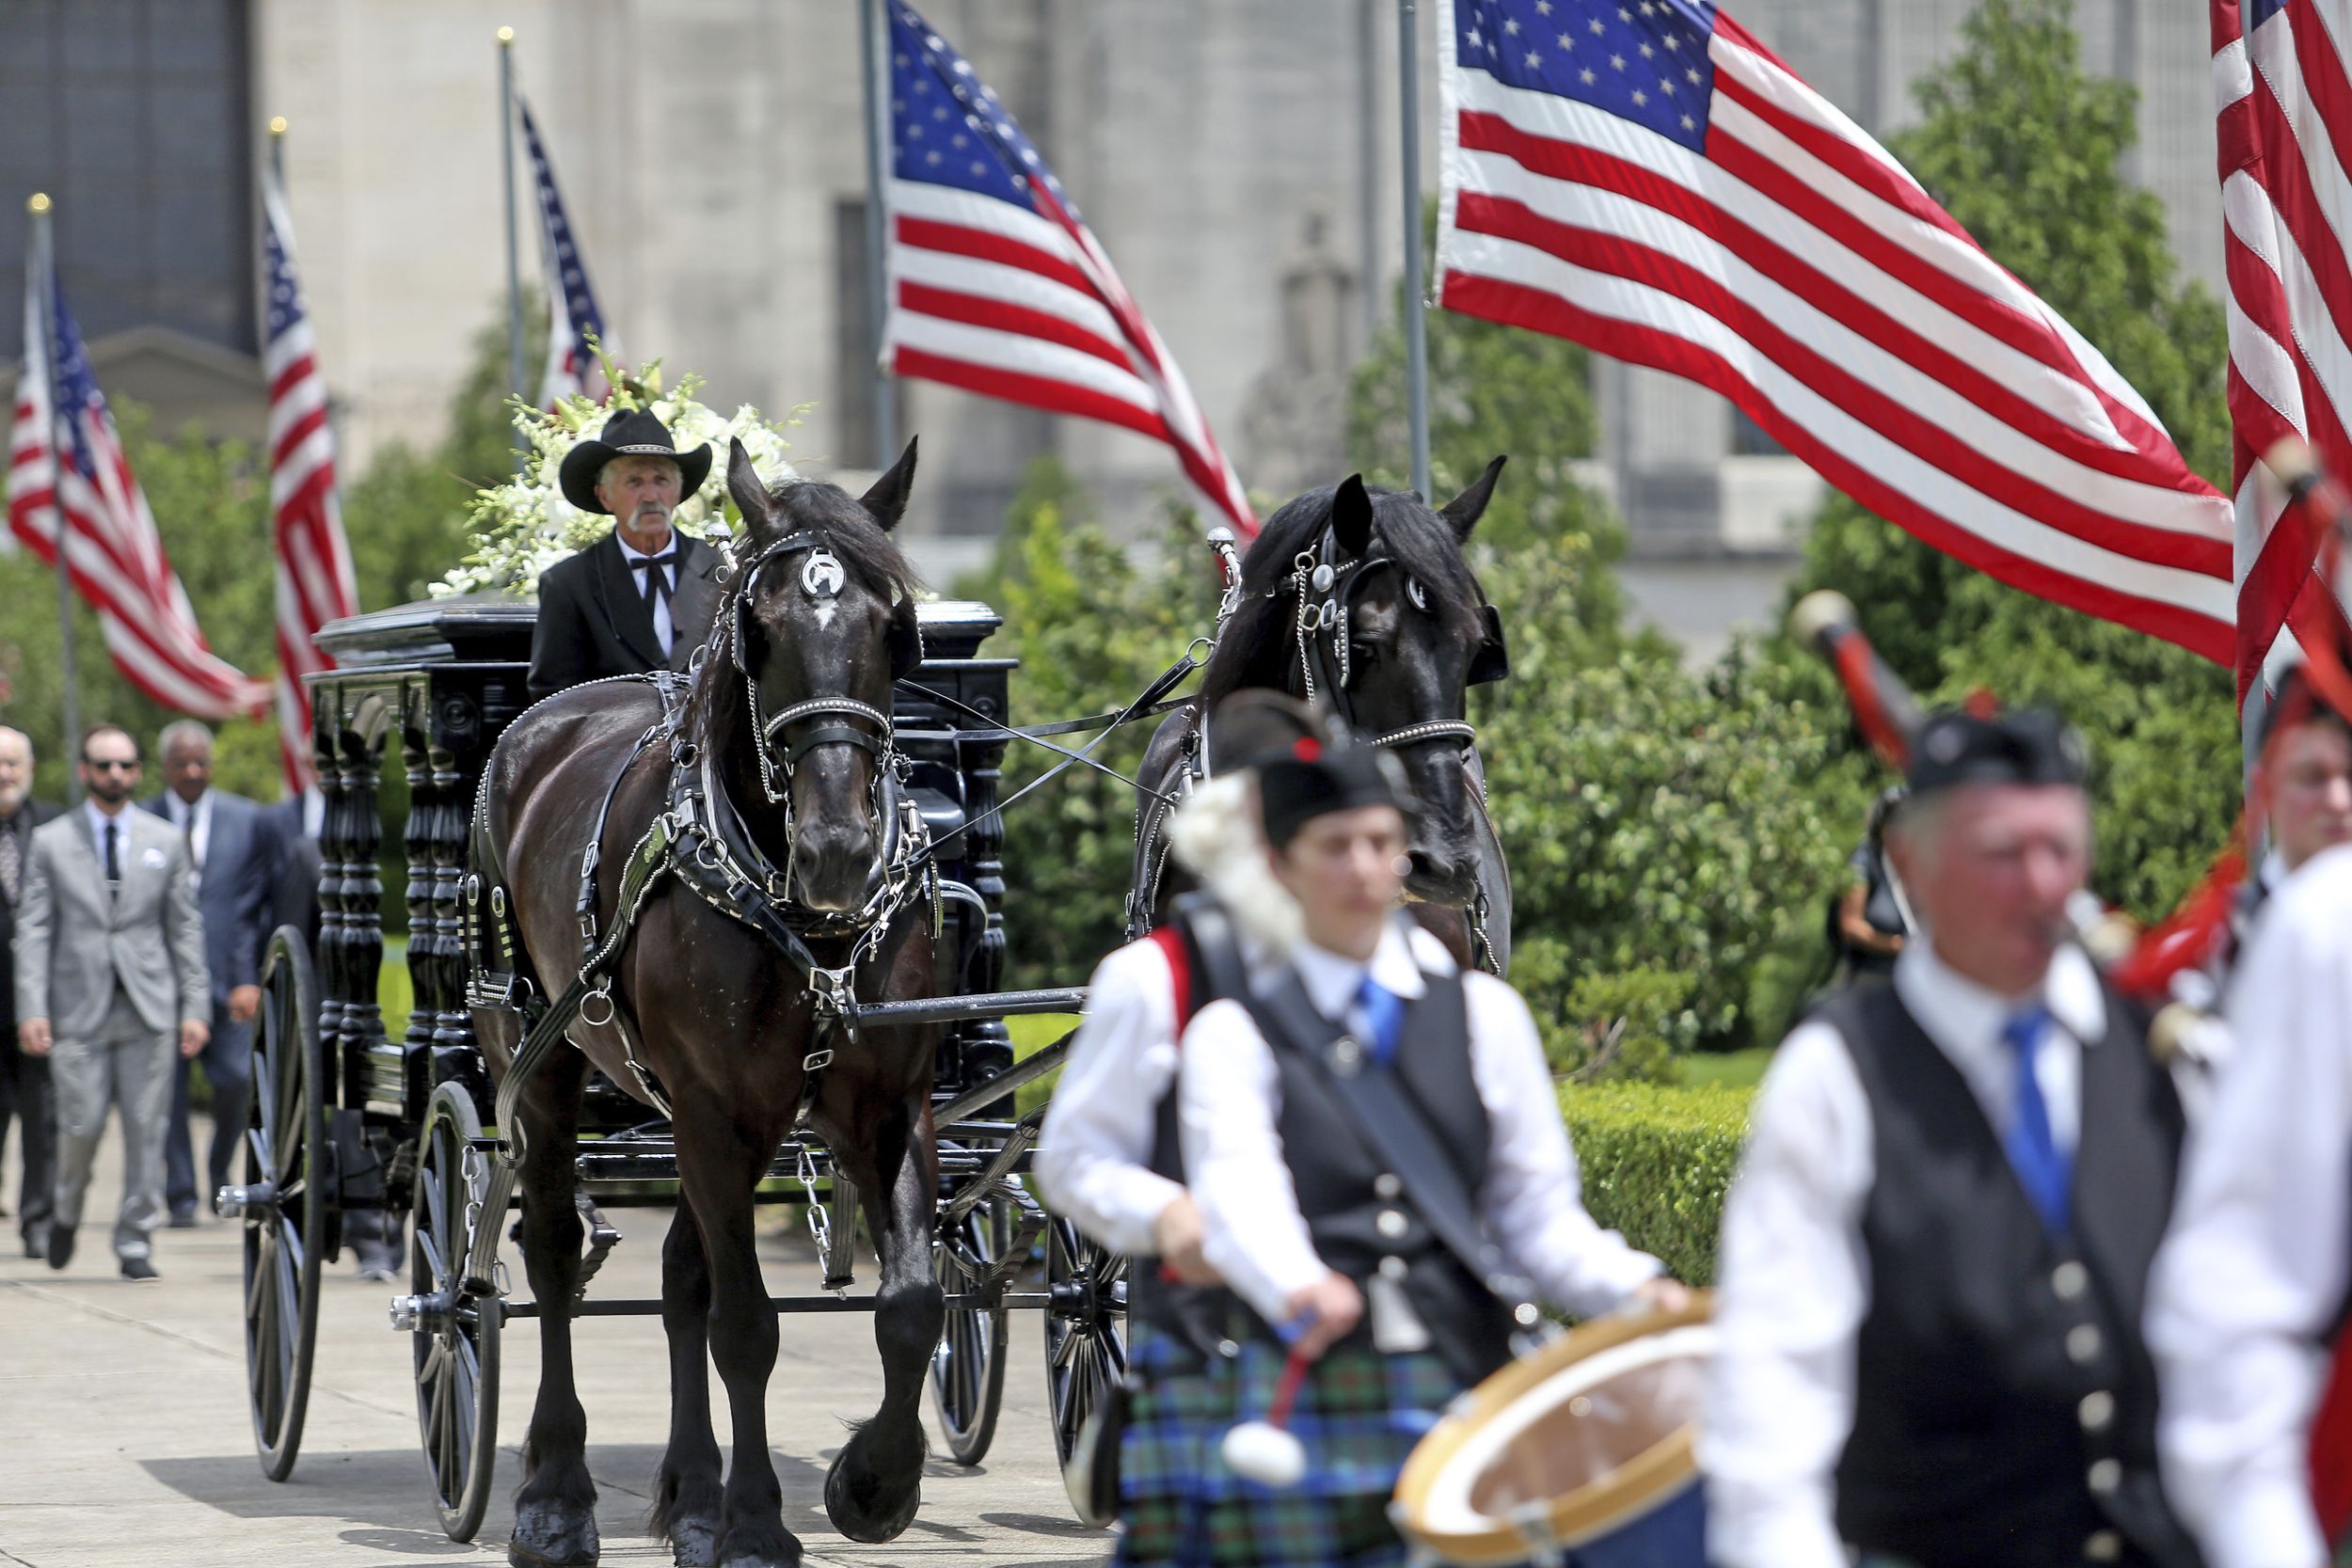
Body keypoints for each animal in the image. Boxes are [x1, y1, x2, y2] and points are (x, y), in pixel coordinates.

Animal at [468, 441, 946, 1568]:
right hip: (543, 1066)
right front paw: (761, 1526)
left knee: (683, 1272)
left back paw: (691, 1494)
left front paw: (872, 1482)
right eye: (758, 627)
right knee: (552, 1257)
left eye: (894, 624)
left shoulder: (885, 1103)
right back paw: (556, 1493)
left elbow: (910, 1303)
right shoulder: (716, 1111)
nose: (837, 849)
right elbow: (748, 1325)